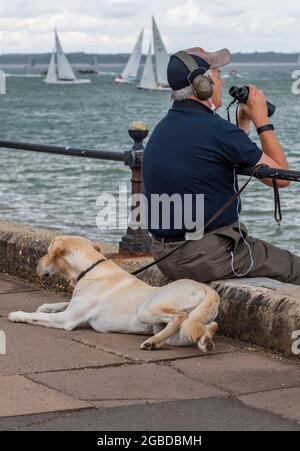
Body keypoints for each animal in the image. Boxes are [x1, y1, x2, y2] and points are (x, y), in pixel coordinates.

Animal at [8, 237, 220, 354]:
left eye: (47, 252)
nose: (36, 263)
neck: (90, 268)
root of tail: (205, 288)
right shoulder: (73, 307)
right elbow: (59, 303)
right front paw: (45, 306)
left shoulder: (67, 319)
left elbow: (36, 316)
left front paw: (17, 314)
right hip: (177, 330)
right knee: (209, 326)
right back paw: (204, 342)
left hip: (148, 310)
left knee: (180, 316)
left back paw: (151, 343)